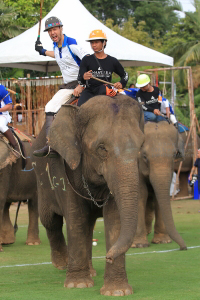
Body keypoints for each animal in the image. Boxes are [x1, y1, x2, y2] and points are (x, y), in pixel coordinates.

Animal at [30, 95, 144, 296]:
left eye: (141, 146)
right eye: (101, 148)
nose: (108, 257)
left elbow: (115, 219)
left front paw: (117, 291)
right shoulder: (66, 165)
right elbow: (75, 217)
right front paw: (78, 285)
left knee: (88, 225)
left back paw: (89, 271)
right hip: (41, 177)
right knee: (50, 220)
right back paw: (62, 264)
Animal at [131, 120, 188, 250]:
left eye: (174, 155)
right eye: (144, 157)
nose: (183, 248)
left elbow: (160, 195)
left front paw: (162, 241)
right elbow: (140, 194)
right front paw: (139, 245)